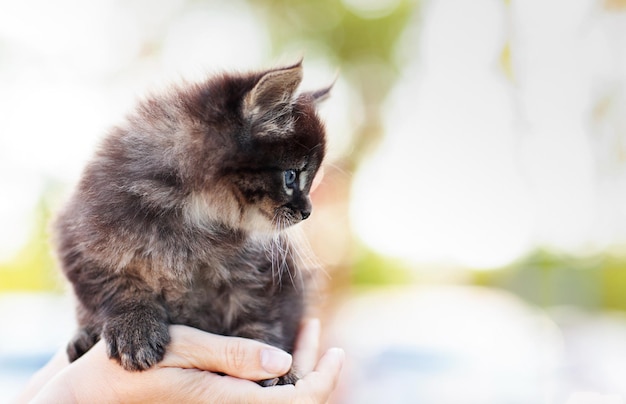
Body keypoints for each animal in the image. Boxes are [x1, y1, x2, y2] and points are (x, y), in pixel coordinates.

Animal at [53, 60, 330, 386]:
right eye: (291, 176)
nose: (308, 211)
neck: (191, 218)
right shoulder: (78, 231)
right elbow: (114, 286)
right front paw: (134, 327)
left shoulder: (269, 277)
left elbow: (265, 320)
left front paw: (277, 367)